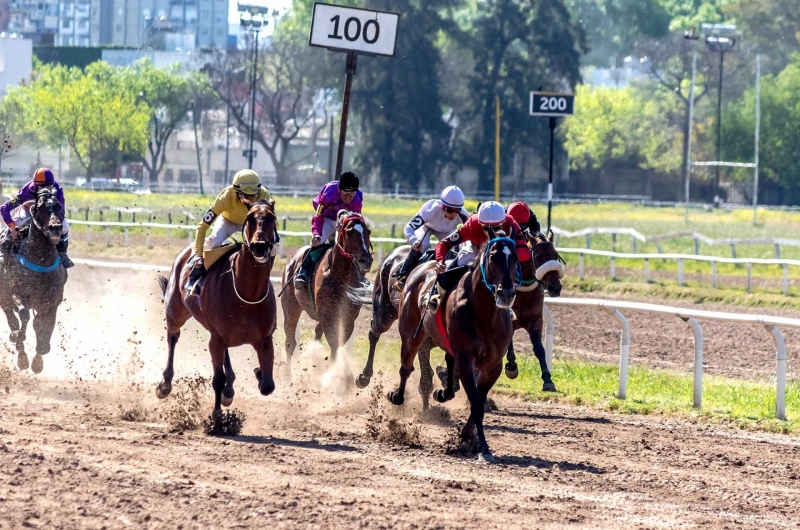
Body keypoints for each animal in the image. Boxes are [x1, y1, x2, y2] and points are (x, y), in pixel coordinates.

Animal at [0, 190, 67, 372]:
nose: (55, 227)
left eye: (59, 206)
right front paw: (18, 337)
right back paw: (21, 353)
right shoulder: (16, 293)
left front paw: (38, 361)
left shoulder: (52, 303)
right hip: (4, 297)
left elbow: (43, 327)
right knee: (12, 318)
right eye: (40, 207)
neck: (40, 262)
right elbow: (23, 315)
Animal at [156, 198, 278, 416]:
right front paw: (217, 415)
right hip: (176, 311)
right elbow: (217, 379)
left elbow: (267, 385)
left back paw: (230, 387)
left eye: (272, 218)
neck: (247, 294)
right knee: (173, 335)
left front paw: (258, 373)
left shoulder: (264, 339)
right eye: (250, 218)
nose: (259, 246)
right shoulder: (216, 339)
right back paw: (165, 384)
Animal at [282, 208, 376, 378]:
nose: (366, 261)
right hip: (290, 306)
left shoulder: (348, 317)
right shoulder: (327, 314)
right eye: (350, 232)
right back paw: (288, 376)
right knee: (290, 342)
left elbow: (338, 344)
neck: (340, 276)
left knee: (316, 332)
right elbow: (334, 343)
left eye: (368, 231)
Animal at [388, 233, 520, 460]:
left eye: (515, 258)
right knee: (406, 367)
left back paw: (443, 393)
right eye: (492, 256)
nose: (506, 293)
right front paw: (482, 448)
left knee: (448, 362)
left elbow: (478, 402)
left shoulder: (493, 365)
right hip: (411, 334)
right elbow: (476, 403)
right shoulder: (466, 358)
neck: (484, 314)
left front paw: (468, 437)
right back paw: (397, 396)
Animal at [506, 233, 564, 390]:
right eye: (538, 257)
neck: (523, 292)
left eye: (555, 255)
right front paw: (511, 366)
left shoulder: (535, 320)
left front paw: (548, 380)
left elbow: (539, 349)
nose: (555, 288)